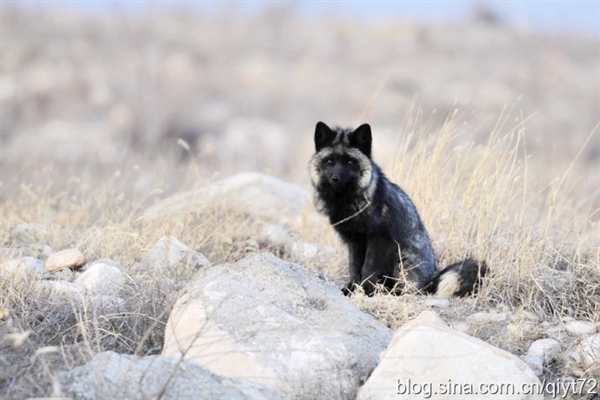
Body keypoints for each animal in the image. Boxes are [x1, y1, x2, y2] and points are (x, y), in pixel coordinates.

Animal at [308, 121, 486, 296]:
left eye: (350, 162)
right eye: (329, 161)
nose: (335, 178)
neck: (348, 202)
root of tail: (429, 282)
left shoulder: (378, 238)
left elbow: (367, 269)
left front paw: (366, 290)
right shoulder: (354, 240)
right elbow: (354, 267)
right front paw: (351, 289)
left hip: (401, 259)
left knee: (407, 289)